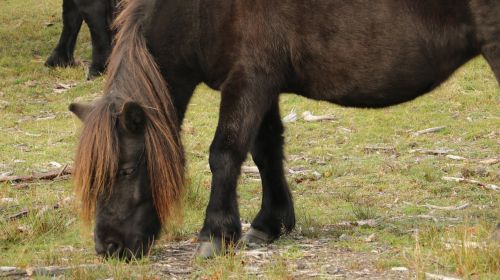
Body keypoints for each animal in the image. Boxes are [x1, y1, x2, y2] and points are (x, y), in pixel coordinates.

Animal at [69, 0, 500, 260]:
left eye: (126, 170)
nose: (108, 247)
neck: (199, 11)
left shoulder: (248, 81)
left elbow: (225, 154)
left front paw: (215, 233)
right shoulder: (264, 86)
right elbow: (266, 152)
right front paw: (268, 224)